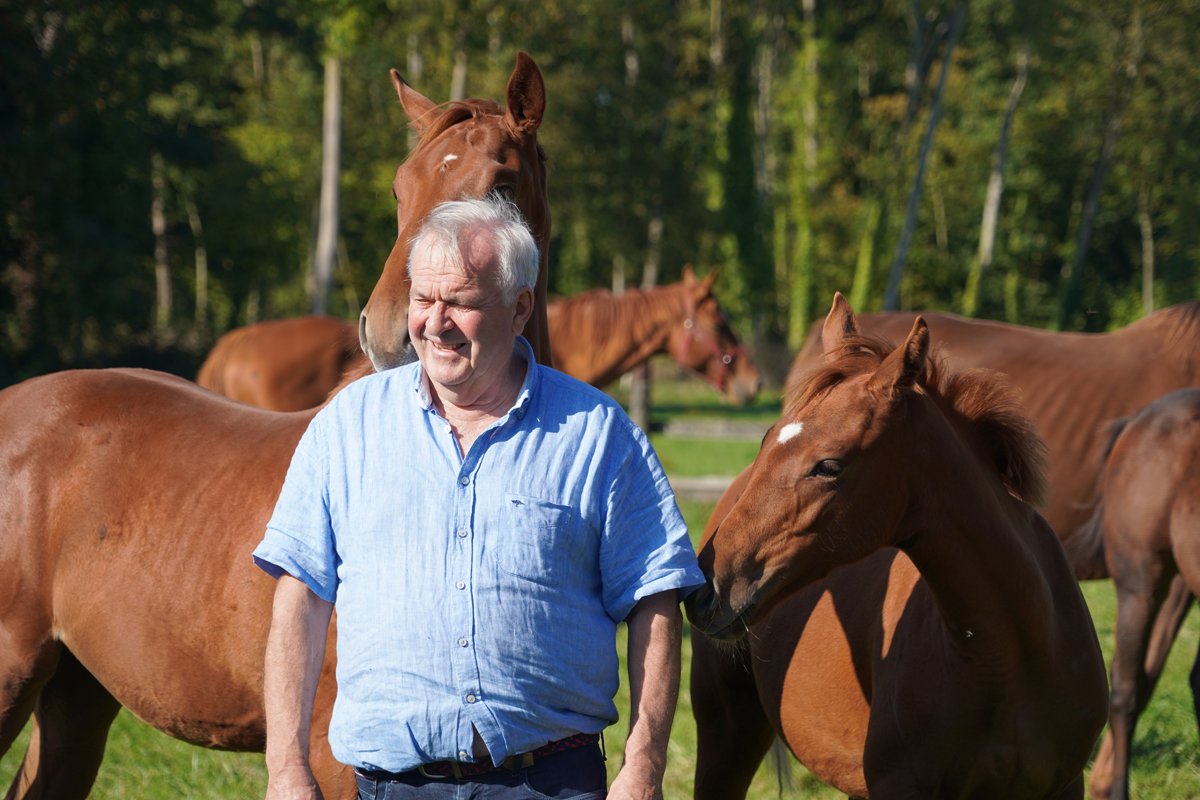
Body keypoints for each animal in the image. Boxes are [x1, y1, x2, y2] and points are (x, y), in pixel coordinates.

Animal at [685, 294, 1109, 799]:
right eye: (768, 439)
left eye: (829, 465)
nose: (703, 588)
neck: (1013, 657)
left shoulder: (1064, 784)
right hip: (726, 740)